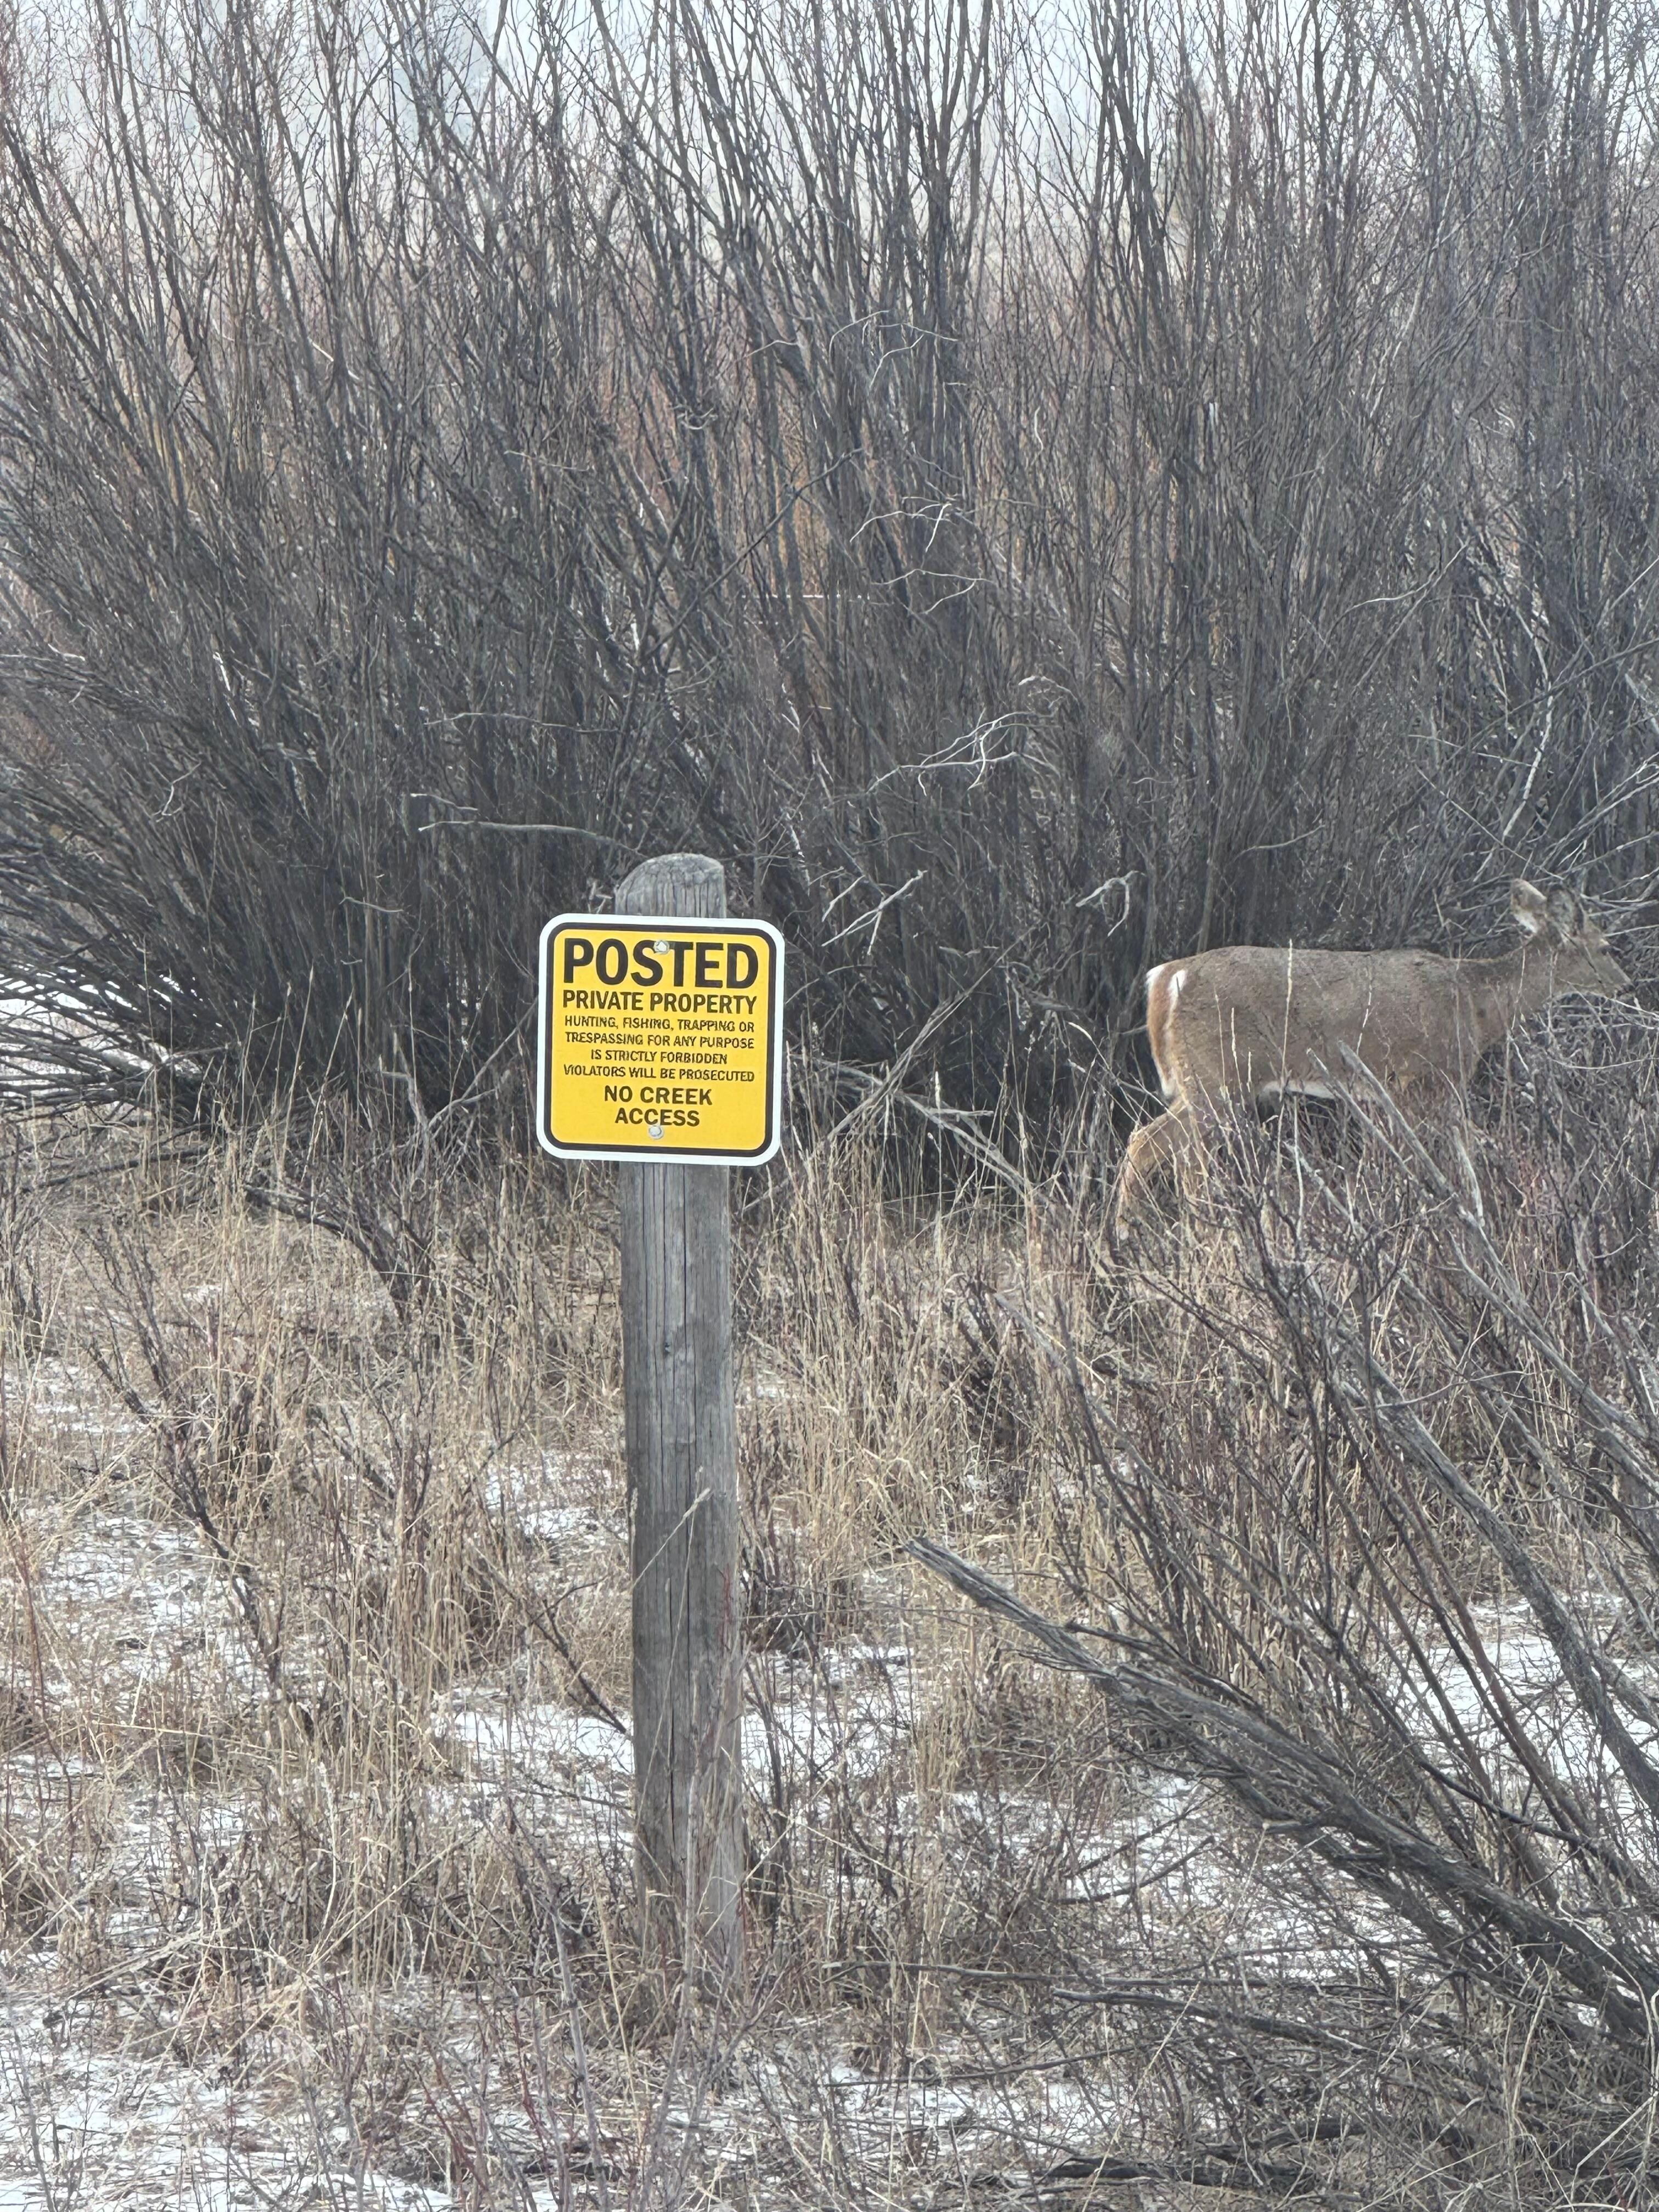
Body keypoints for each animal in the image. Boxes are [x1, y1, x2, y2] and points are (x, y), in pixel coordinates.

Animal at [1112, 879, 1631, 1238]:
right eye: (1607, 947)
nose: (1626, 984)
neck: (1476, 1006)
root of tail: (1167, 977)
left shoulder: (1403, 1094)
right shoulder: (1424, 1079)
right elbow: (1456, 1163)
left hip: (1201, 1083)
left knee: (1160, 1149)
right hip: (1218, 1079)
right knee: (1160, 1150)